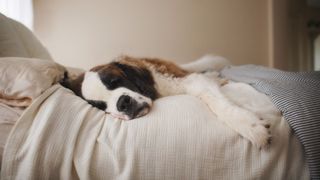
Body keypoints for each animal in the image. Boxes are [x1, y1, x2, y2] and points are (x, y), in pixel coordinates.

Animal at [61, 55, 272, 148]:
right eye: (100, 106)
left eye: (115, 81)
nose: (123, 103)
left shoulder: (191, 81)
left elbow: (215, 101)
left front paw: (251, 127)